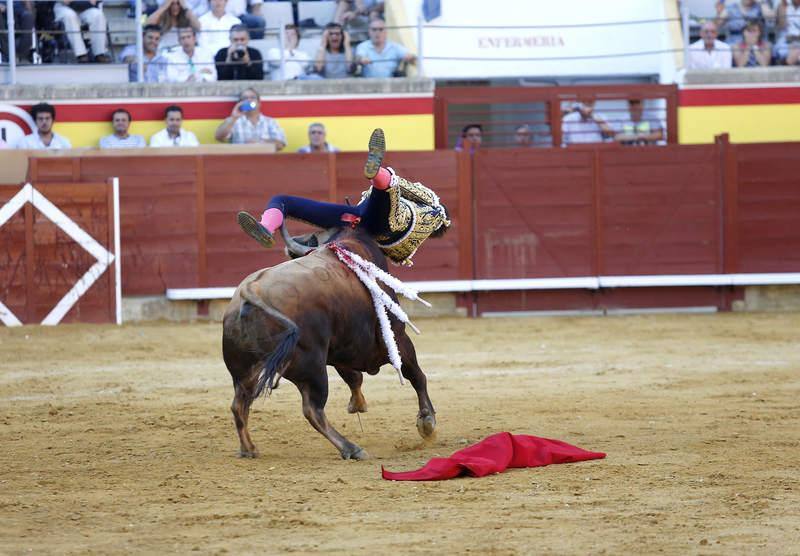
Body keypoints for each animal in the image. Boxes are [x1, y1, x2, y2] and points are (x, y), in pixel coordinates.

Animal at [220, 224, 438, 458]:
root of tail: (249, 291)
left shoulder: (339, 349)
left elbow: (354, 377)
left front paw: (357, 404)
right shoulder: (397, 338)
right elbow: (416, 375)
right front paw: (427, 422)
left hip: (245, 372)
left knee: (239, 405)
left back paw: (248, 449)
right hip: (312, 368)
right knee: (312, 410)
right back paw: (351, 448)